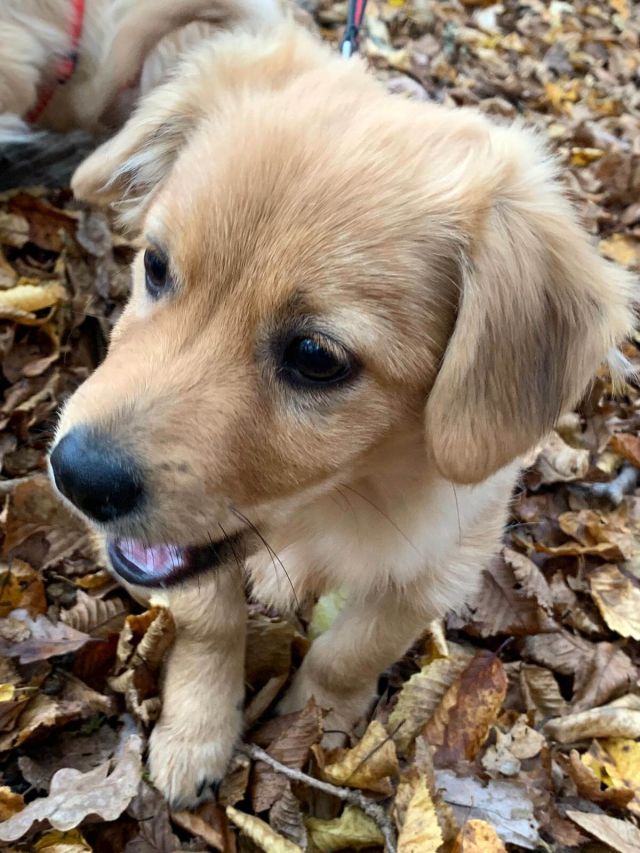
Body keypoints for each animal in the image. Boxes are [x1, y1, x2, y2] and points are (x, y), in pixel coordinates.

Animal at [48, 21, 636, 804]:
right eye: (155, 266)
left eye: (316, 356)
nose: (76, 475)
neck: (325, 504)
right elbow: (212, 624)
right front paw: (195, 735)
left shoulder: (439, 561)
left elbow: (351, 651)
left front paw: (320, 734)